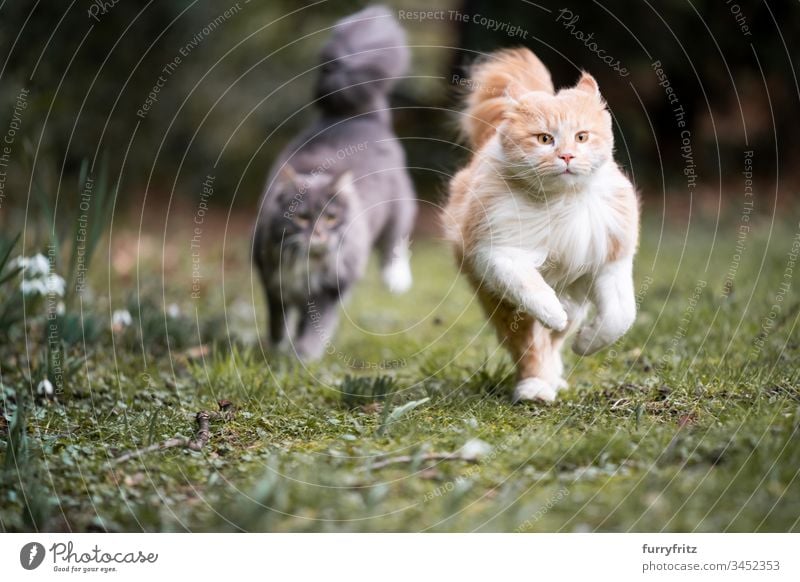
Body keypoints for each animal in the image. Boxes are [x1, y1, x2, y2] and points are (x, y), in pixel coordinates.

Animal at [255, 5, 418, 360]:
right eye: (302, 217)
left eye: (330, 217)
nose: (318, 234)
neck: (307, 263)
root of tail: (358, 116)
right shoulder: (272, 281)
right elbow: (277, 320)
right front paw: (276, 347)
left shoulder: (332, 289)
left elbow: (314, 329)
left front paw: (301, 357)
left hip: (399, 208)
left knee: (395, 244)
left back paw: (396, 280)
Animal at [446, 48, 640, 404]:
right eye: (545, 139)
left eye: (581, 137)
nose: (566, 157)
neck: (562, 202)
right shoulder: (497, 253)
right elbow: (533, 291)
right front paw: (553, 312)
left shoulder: (611, 262)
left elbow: (619, 316)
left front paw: (586, 343)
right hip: (501, 302)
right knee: (531, 346)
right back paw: (536, 388)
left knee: (557, 340)